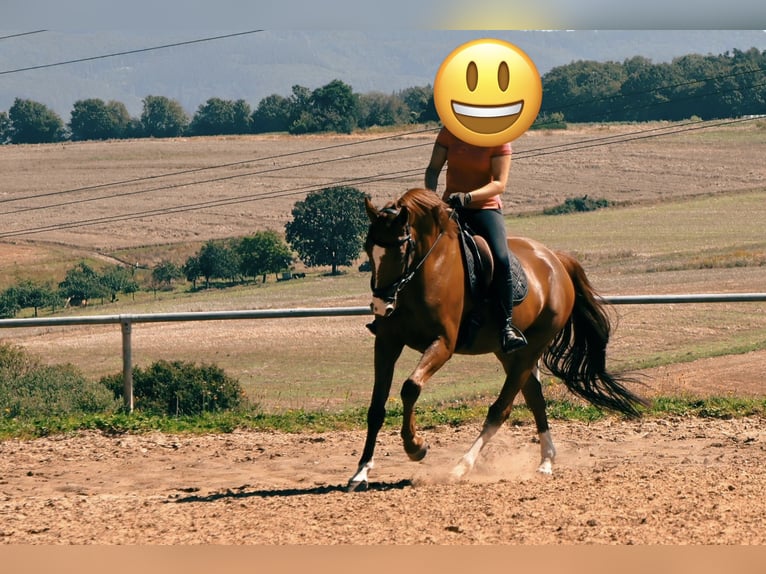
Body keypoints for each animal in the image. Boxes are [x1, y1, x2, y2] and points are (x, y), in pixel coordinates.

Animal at [347, 187, 647, 491]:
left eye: (400, 250)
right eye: (369, 249)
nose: (381, 306)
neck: (426, 271)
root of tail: (556, 260)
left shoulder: (443, 343)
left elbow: (410, 387)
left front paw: (416, 446)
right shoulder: (387, 342)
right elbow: (376, 407)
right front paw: (361, 471)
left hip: (531, 348)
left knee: (501, 410)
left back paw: (461, 467)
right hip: (507, 352)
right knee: (535, 398)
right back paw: (546, 462)